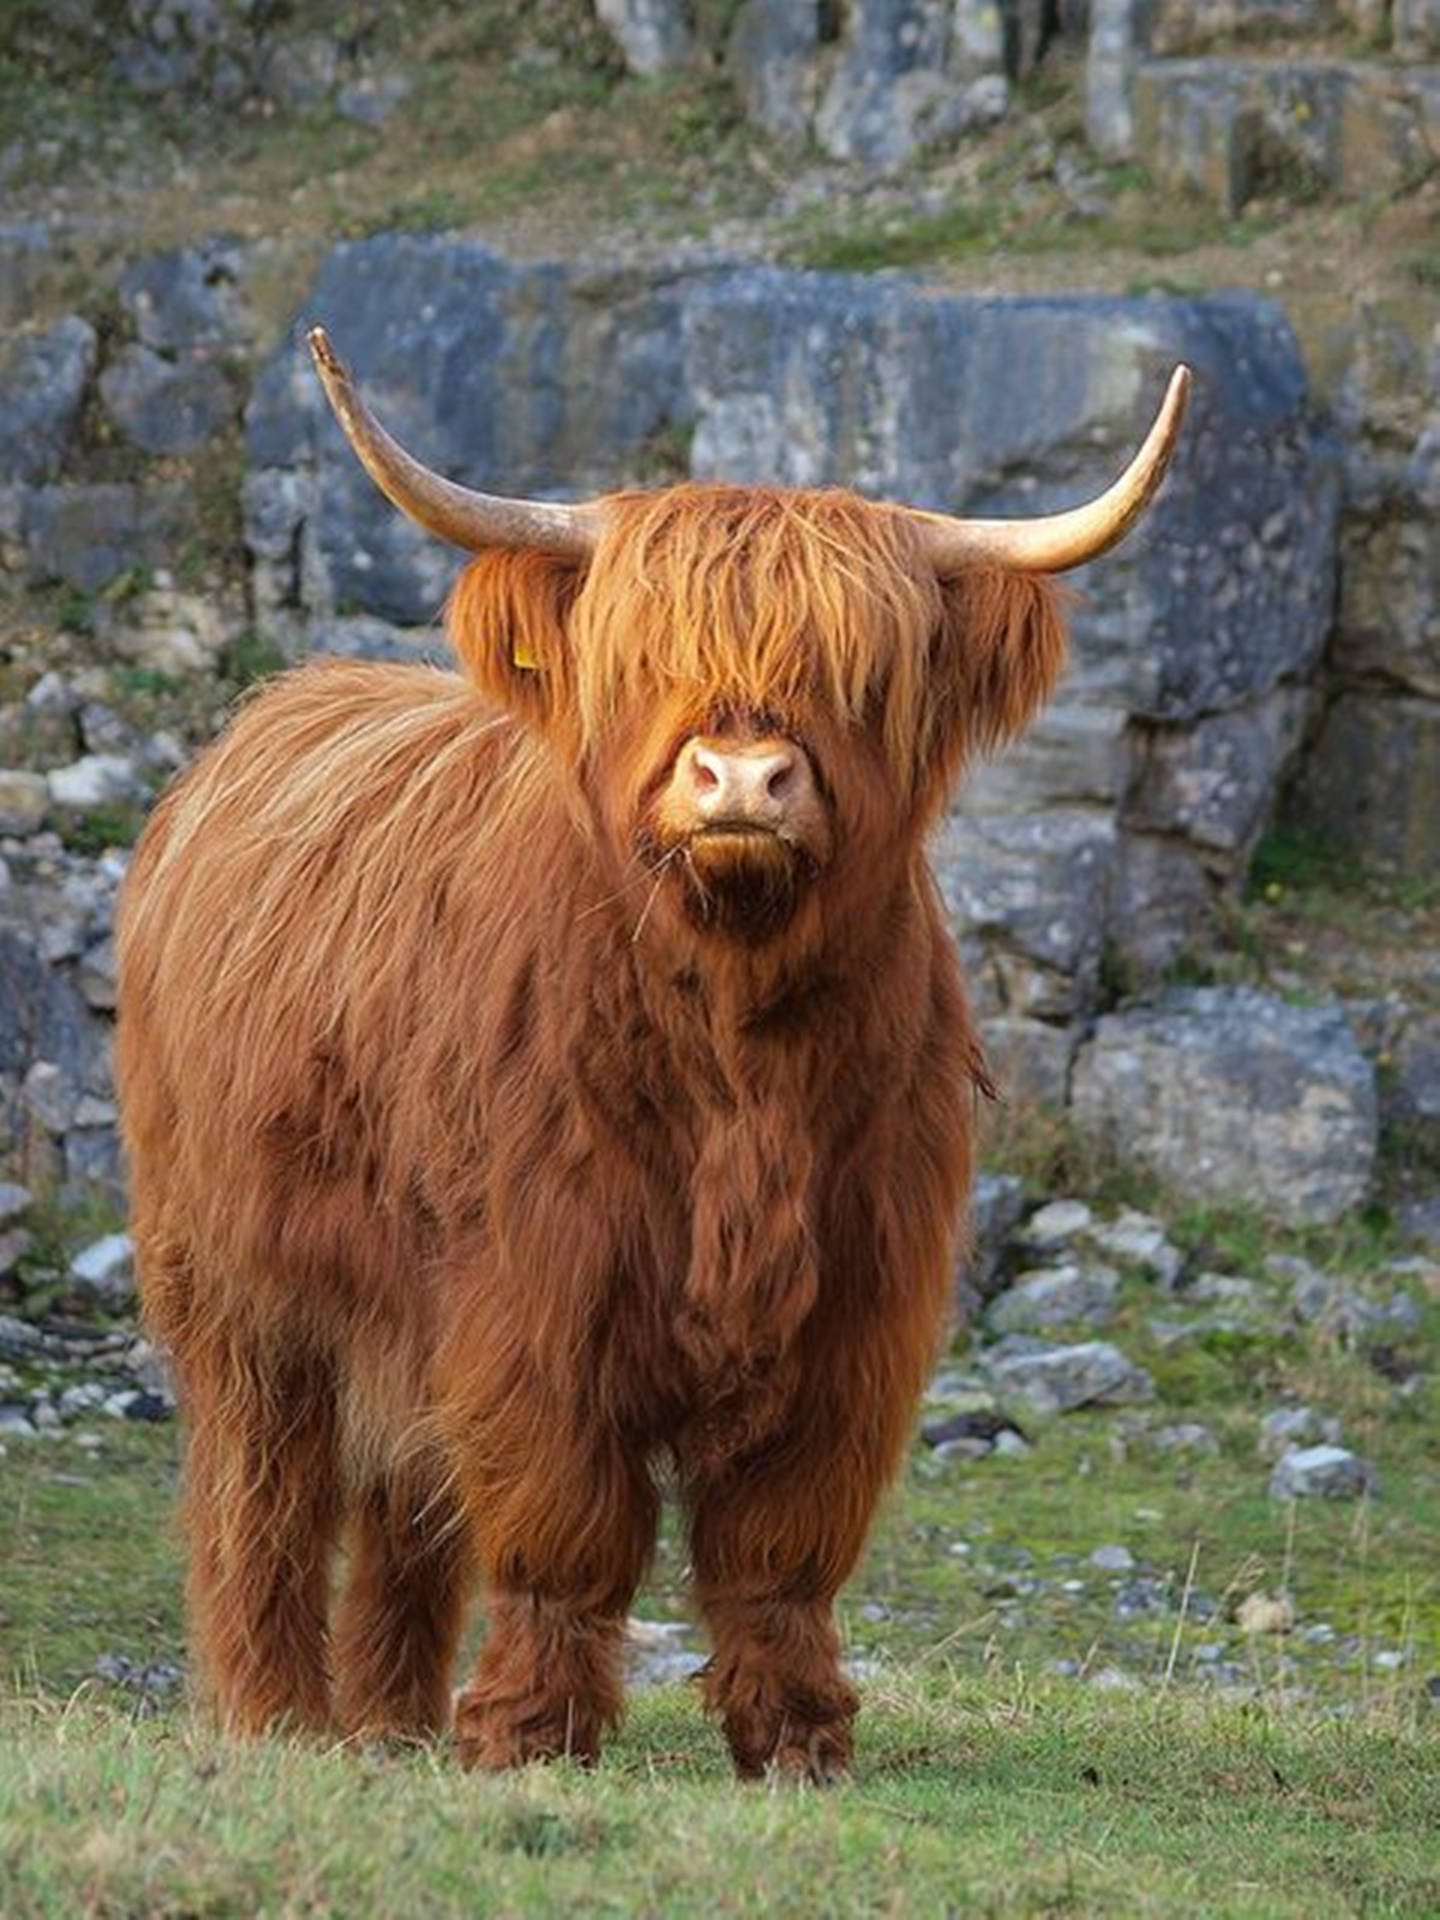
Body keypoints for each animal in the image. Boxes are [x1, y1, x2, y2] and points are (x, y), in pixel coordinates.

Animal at [118, 322, 1190, 1774]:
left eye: (863, 673)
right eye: (644, 656)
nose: (741, 778)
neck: (738, 1053)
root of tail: (264, 719)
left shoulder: (858, 1306)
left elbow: (782, 1545)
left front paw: (797, 1741)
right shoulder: (537, 1289)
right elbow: (561, 1519)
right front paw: (530, 1735)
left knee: (403, 1501)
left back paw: (392, 1722)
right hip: (238, 1284)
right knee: (263, 1491)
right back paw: (278, 1716)